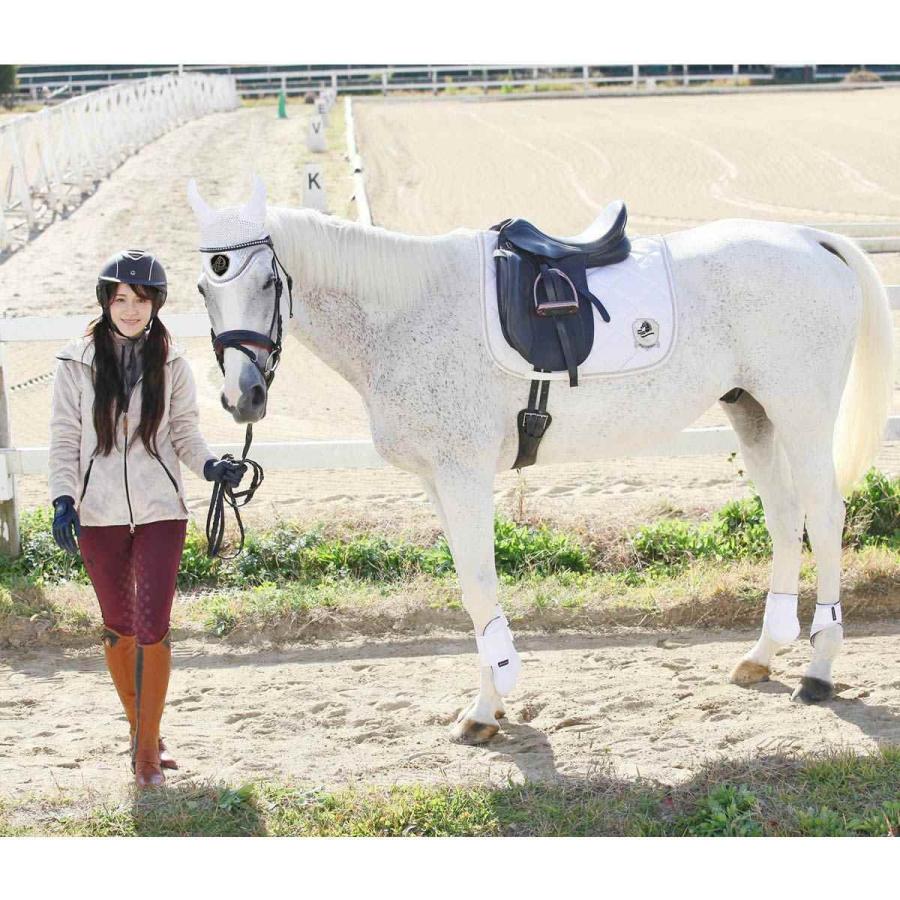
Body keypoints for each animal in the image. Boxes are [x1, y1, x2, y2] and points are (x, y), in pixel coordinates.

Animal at [187, 175, 893, 745]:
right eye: (203, 287)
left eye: (268, 279)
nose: (242, 397)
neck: (406, 312)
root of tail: (811, 240)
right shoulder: (438, 482)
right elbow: (470, 586)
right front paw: (492, 704)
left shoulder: (464, 476)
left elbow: (478, 584)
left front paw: (484, 708)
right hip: (753, 414)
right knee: (786, 518)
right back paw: (764, 654)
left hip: (801, 414)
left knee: (824, 515)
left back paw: (819, 669)